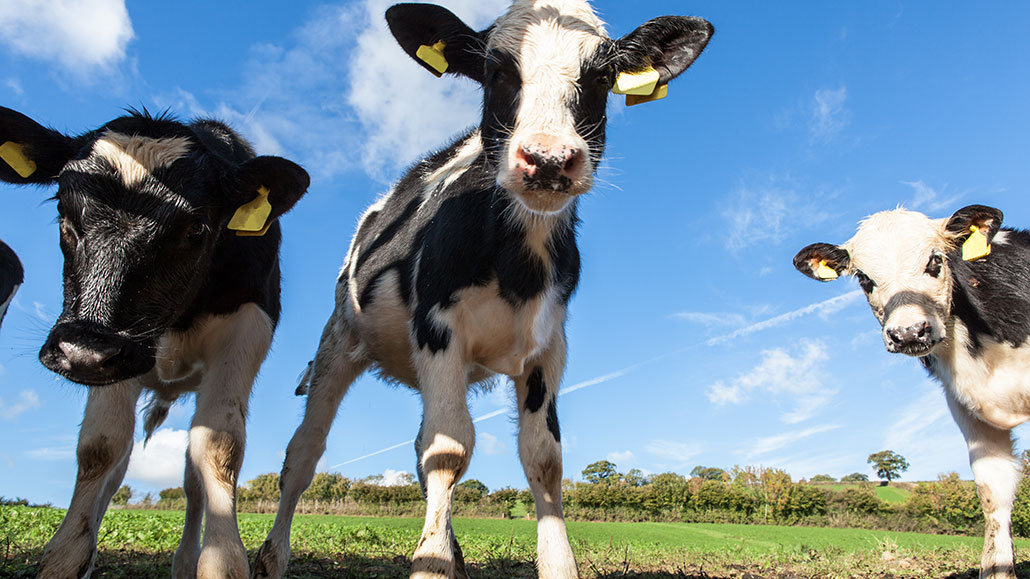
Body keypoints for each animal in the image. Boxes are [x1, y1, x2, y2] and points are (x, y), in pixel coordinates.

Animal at [0, 104, 309, 576]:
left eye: (197, 228)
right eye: (63, 210)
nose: (83, 351)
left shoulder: (247, 326)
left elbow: (218, 447)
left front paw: (220, 561)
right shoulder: (117, 359)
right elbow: (101, 447)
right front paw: (67, 558)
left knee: (192, 480)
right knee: (116, 468)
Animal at [253, 1, 712, 576]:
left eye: (602, 77)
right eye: (496, 71)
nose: (548, 158)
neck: (516, 264)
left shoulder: (549, 348)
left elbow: (542, 458)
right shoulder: (437, 328)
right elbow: (450, 450)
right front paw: (430, 562)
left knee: (421, 447)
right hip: (339, 337)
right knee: (306, 451)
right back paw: (272, 556)